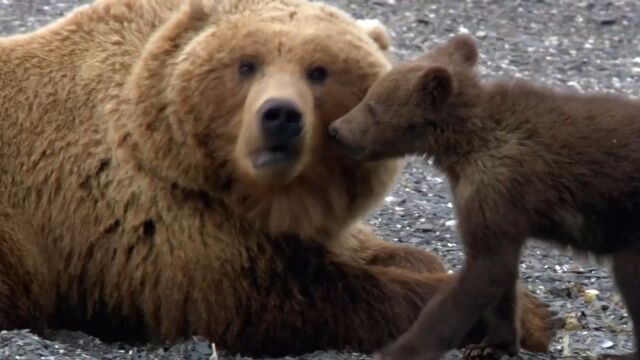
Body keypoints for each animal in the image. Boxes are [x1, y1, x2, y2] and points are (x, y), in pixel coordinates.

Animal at [0, 0, 552, 356]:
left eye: (320, 70)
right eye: (247, 65)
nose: (281, 116)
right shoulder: (159, 225)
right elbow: (278, 298)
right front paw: (527, 315)